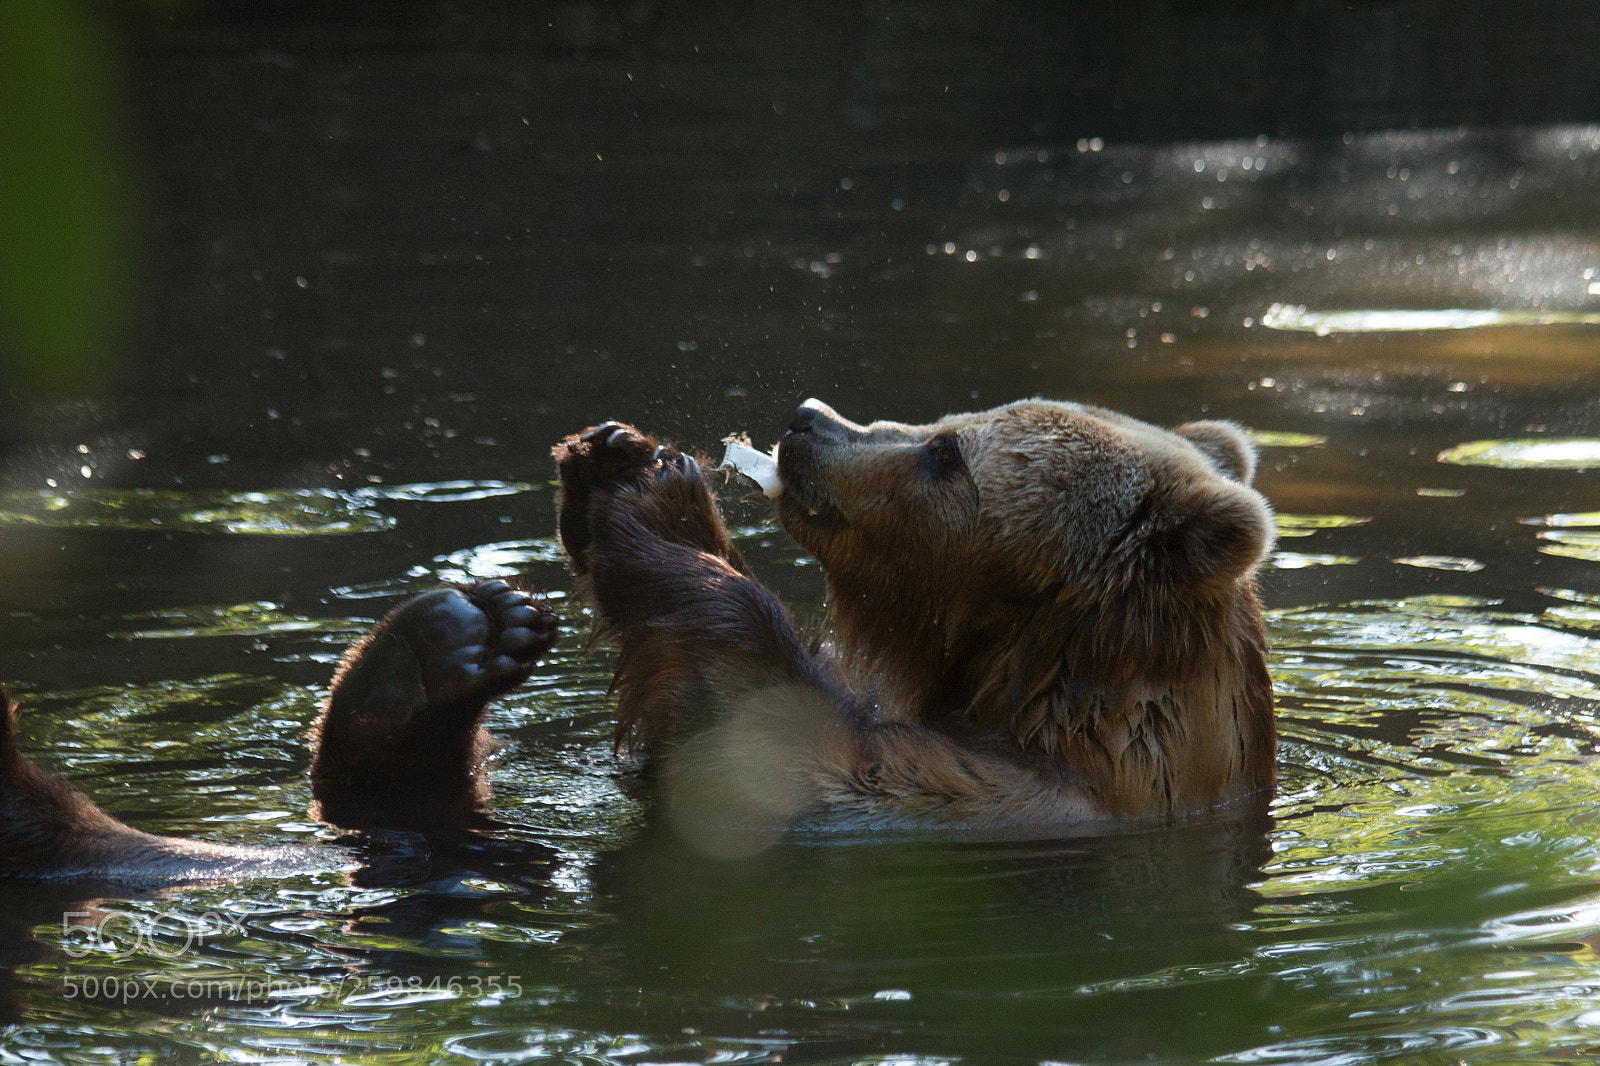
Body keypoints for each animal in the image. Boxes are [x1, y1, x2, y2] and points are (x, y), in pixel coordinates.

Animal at [554, 398, 1275, 845]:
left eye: (947, 450)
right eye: (949, 423)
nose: (809, 420)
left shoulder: (994, 803)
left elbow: (781, 750)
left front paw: (658, 502)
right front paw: (611, 456)